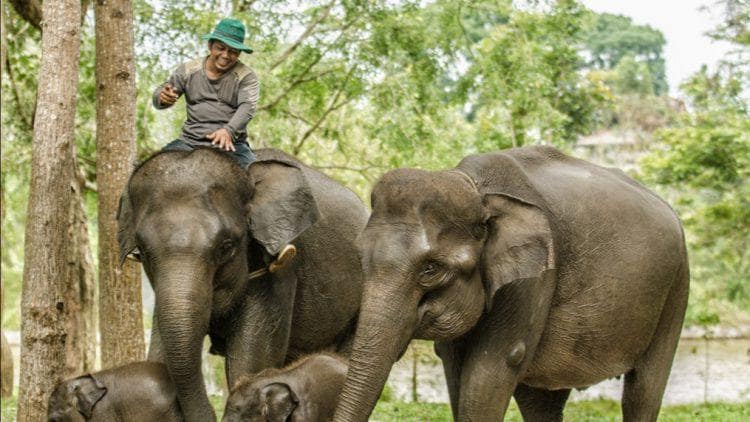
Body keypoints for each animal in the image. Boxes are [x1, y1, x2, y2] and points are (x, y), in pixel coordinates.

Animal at [338, 146, 692, 422]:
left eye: (430, 268)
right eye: (359, 257)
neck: (477, 189)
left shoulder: (533, 279)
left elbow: (489, 372)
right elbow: (455, 368)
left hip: (677, 287)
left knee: (644, 390)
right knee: (541, 401)